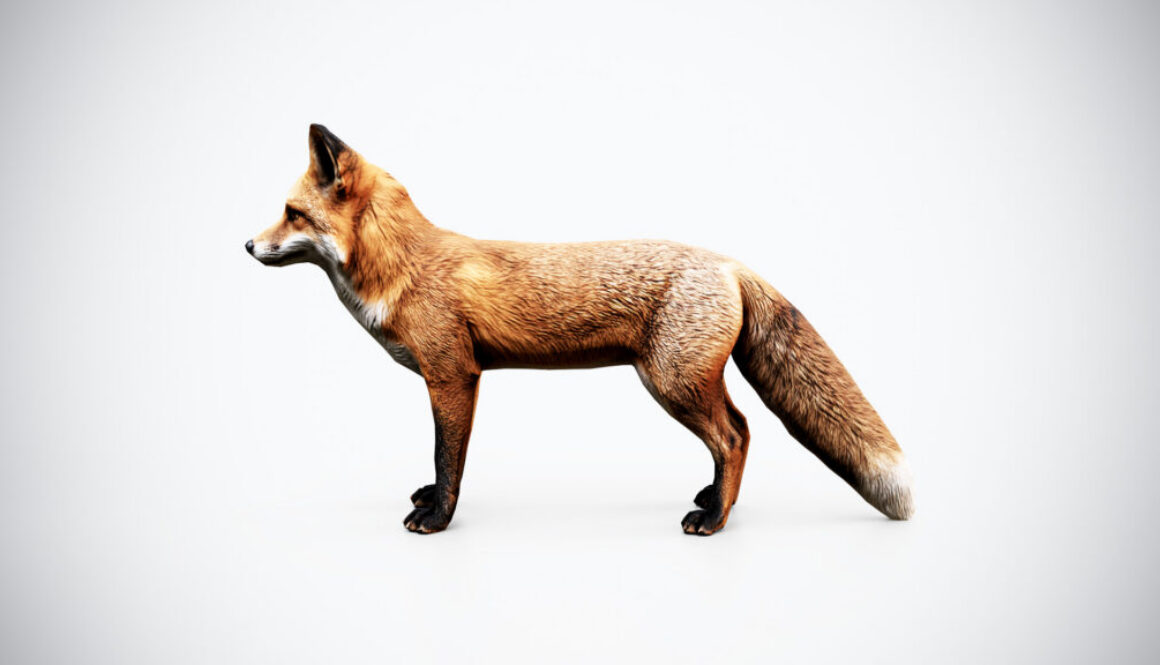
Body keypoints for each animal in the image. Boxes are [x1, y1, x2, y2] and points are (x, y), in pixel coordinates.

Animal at [246, 124, 914, 535]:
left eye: (292, 214)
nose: (248, 245)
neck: (404, 266)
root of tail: (729, 263)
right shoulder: (453, 378)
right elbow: (441, 461)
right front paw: (430, 501)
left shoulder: (453, 375)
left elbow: (448, 457)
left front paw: (437, 518)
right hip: (687, 381)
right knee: (743, 430)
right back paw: (712, 499)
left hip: (672, 382)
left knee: (734, 436)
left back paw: (714, 521)